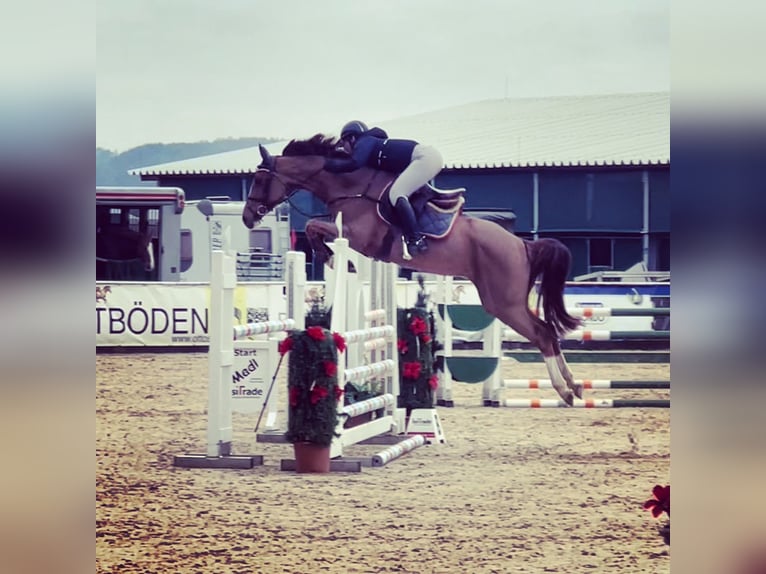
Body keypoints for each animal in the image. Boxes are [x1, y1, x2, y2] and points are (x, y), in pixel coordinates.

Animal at [242, 135, 584, 405]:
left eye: (259, 180)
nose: (247, 217)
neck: (351, 187)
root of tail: (522, 245)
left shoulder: (356, 235)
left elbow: (316, 226)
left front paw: (333, 258)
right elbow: (316, 228)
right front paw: (335, 259)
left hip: (503, 303)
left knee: (542, 333)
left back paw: (565, 390)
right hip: (503, 300)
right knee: (549, 331)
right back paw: (575, 385)